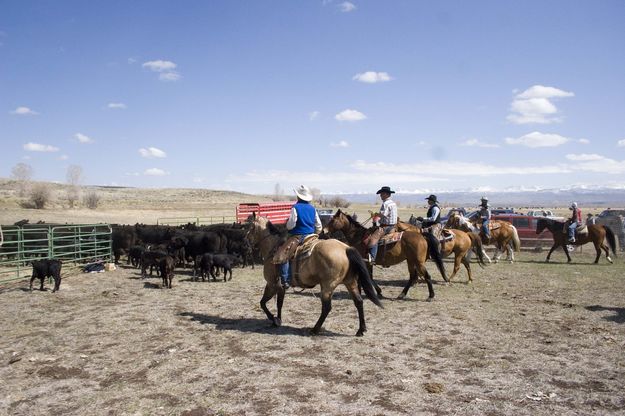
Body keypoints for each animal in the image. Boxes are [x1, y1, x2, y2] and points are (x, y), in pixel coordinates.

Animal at [246, 213, 382, 336]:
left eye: (251, 227)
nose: (246, 240)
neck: (272, 247)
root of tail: (346, 249)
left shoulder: (272, 284)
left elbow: (265, 303)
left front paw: (274, 319)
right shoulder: (279, 287)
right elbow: (278, 303)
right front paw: (277, 319)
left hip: (327, 286)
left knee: (327, 308)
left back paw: (315, 329)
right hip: (350, 282)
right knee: (358, 302)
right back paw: (361, 330)